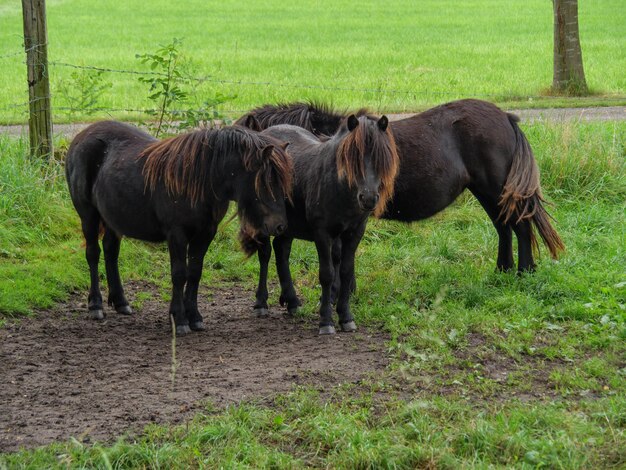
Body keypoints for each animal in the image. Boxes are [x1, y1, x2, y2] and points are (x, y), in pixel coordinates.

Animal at [66, 119, 292, 336]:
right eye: (266, 182)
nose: (280, 225)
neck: (200, 179)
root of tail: (81, 137)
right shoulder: (177, 234)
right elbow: (179, 274)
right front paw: (179, 319)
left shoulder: (205, 233)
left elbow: (194, 272)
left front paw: (195, 317)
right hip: (88, 216)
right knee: (93, 254)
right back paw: (95, 305)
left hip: (113, 219)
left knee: (111, 251)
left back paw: (121, 302)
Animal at [236, 99, 564, 276]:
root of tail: (506, 118)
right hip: (485, 191)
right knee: (503, 227)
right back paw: (503, 271)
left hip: (494, 189)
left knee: (519, 226)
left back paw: (523, 272)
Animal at [241, 114, 398, 334]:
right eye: (352, 158)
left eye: (379, 158)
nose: (368, 198)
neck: (340, 189)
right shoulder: (322, 233)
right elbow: (327, 274)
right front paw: (326, 321)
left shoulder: (354, 233)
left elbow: (346, 272)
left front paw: (346, 317)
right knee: (265, 255)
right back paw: (261, 303)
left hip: (287, 225)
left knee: (281, 251)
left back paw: (292, 301)